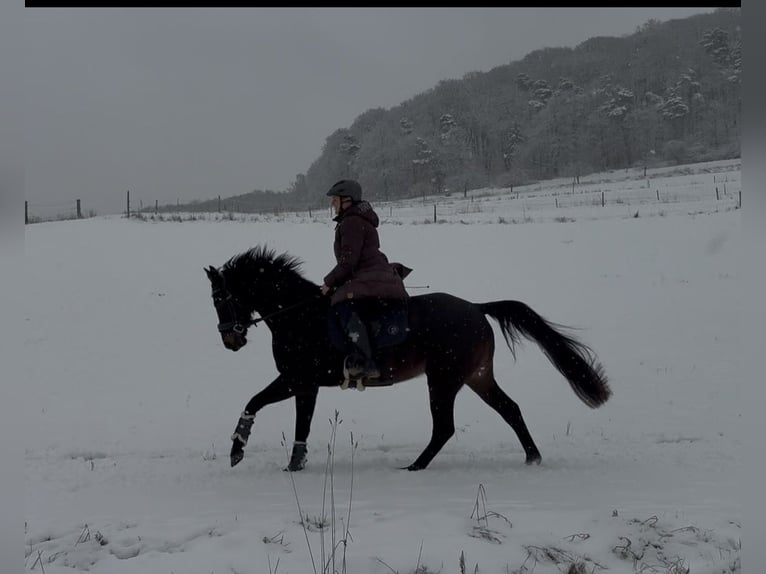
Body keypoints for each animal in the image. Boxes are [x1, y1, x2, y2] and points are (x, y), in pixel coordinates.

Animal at [205, 245, 611, 472]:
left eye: (221, 298)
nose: (229, 339)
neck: (299, 315)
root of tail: (477, 308)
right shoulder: (303, 384)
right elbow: (279, 415)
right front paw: (274, 459)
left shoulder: (298, 380)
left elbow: (267, 408)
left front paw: (248, 453)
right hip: (477, 376)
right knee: (510, 409)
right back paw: (532, 458)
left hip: (444, 379)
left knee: (445, 427)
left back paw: (415, 466)